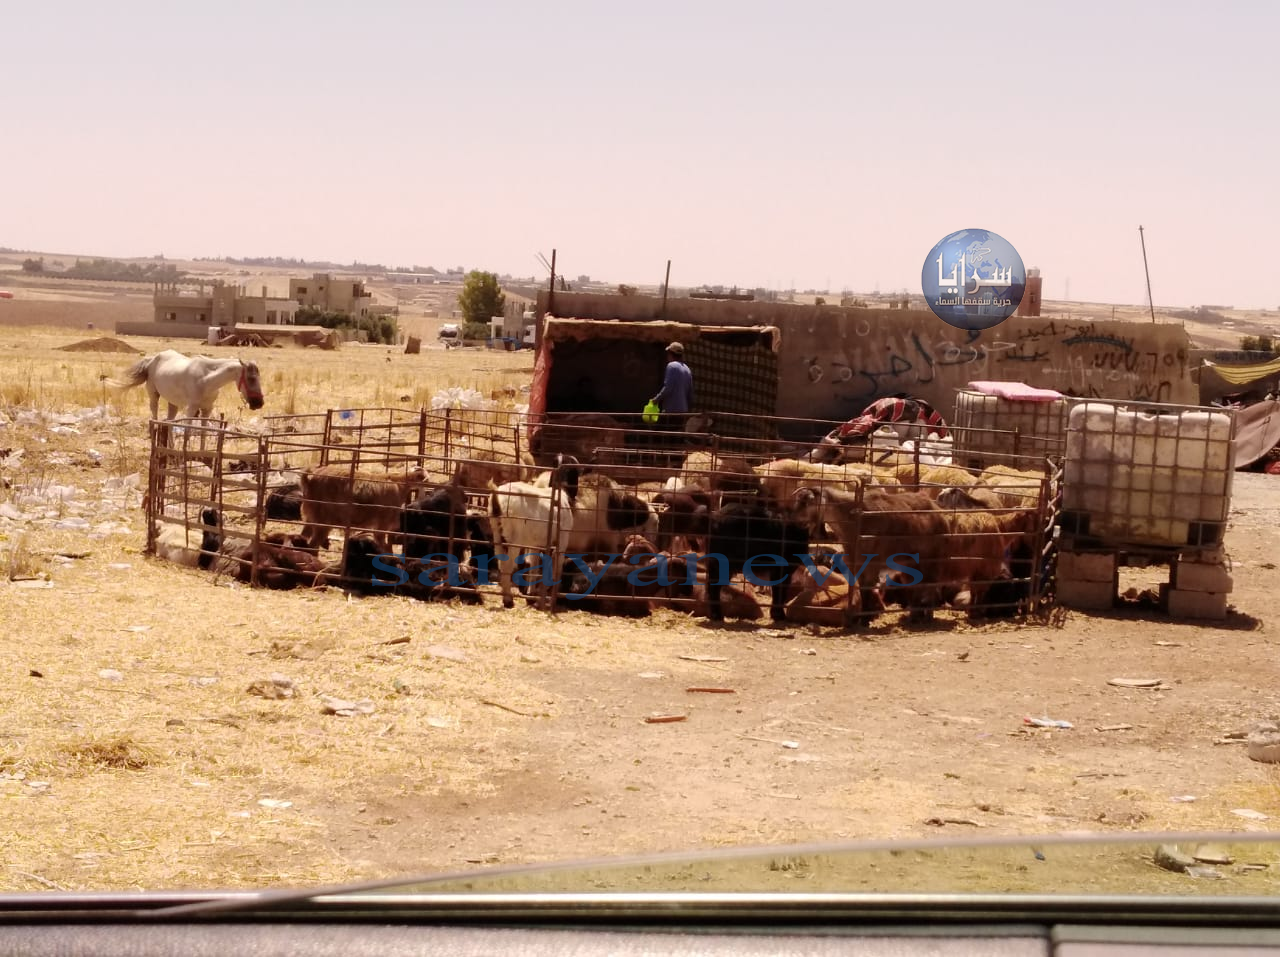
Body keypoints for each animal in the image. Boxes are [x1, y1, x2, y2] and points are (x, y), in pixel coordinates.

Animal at [106, 350, 264, 419]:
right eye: (250, 378)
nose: (259, 403)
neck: (207, 379)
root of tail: (152, 359)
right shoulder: (191, 409)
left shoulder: (207, 409)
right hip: (153, 395)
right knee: (155, 416)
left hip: (173, 403)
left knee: (169, 423)